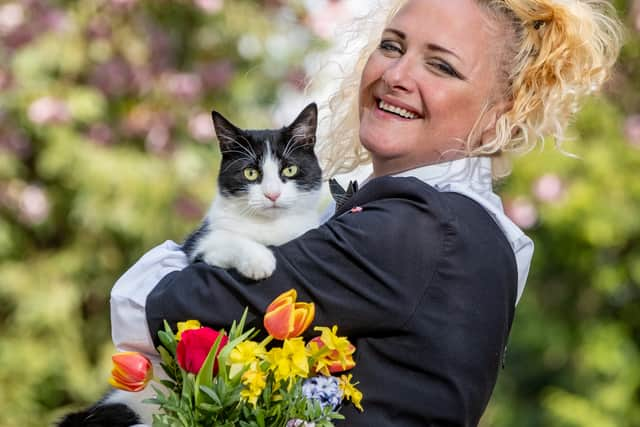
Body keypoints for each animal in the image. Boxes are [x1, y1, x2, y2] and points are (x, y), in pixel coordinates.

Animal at [57, 103, 322, 427]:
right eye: (250, 173)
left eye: (290, 170)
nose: (272, 194)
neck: (271, 228)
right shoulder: (199, 245)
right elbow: (226, 239)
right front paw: (259, 261)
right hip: (123, 407)